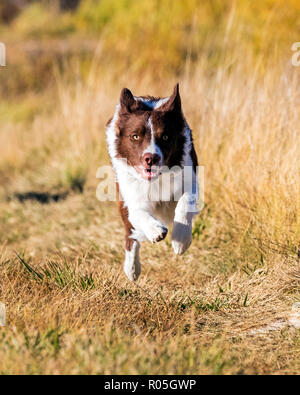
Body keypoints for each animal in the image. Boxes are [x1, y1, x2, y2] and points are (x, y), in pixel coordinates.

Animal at [106, 83, 199, 282]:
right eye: (135, 136)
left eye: (165, 137)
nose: (151, 158)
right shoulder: (129, 194)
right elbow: (138, 213)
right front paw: (155, 230)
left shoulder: (192, 179)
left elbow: (185, 201)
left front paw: (181, 240)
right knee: (130, 235)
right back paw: (132, 269)